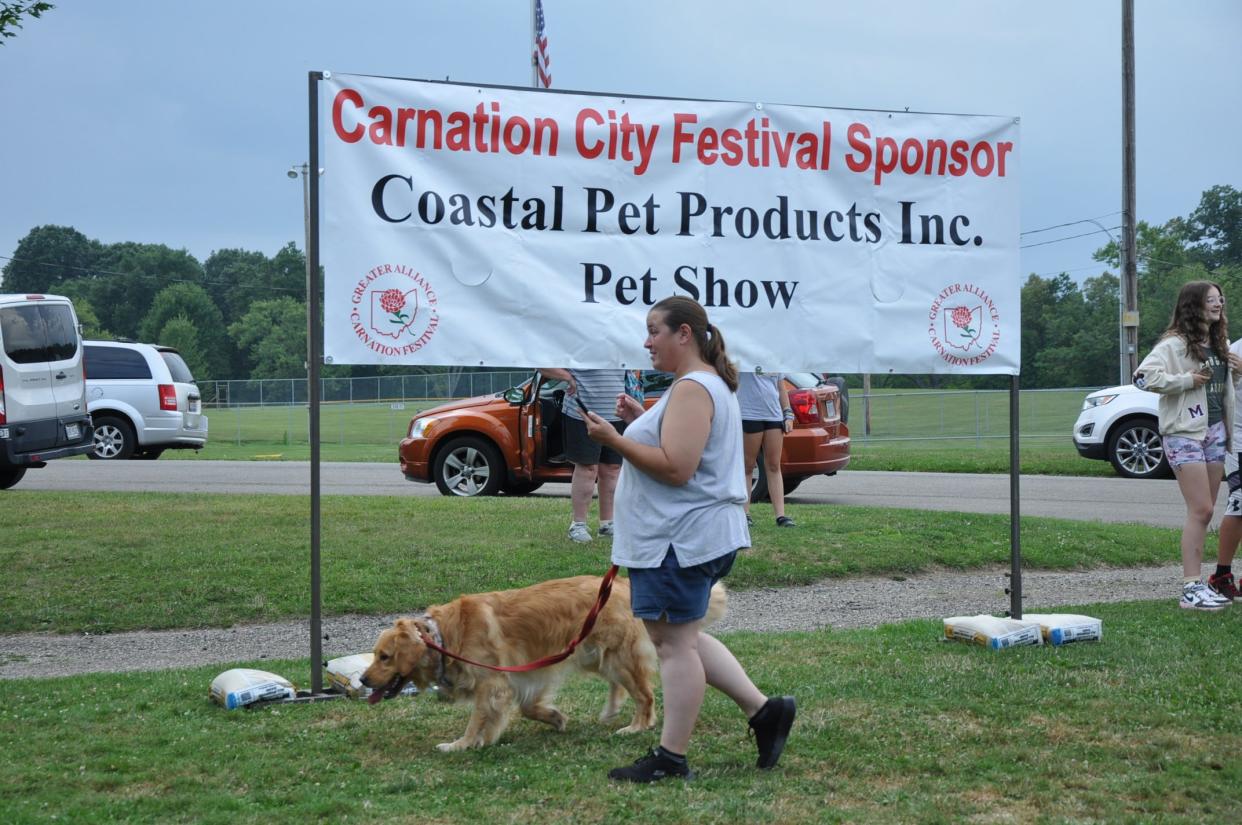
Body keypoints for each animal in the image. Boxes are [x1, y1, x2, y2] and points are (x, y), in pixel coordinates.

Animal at [360, 574, 725, 755]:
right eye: (375, 654)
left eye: (384, 657)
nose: (362, 681)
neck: (443, 637)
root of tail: (621, 583)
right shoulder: (531, 670)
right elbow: (527, 708)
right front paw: (555, 717)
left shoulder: (493, 683)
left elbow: (478, 719)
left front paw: (461, 744)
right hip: (594, 653)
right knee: (620, 686)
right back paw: (611, 710)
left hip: (617, 656)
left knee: (645, 695)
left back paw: (637, 725)